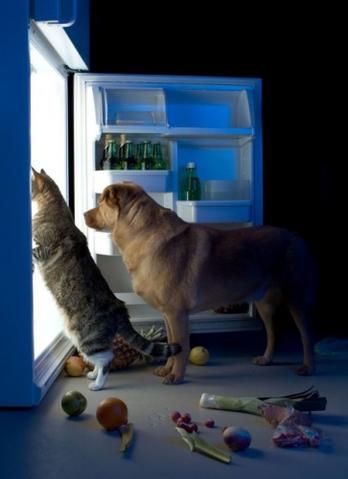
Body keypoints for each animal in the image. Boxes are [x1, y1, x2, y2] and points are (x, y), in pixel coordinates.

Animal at [30, 169, 181, 390]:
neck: (54, 208)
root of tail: (119, 308)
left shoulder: (43, 249)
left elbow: (33, 251)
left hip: (86, 338)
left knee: (107, 358)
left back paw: (98, 383)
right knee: (103, 356)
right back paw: (93, 374)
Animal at [83, 182, 316, 384]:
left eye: (102, 202)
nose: (84, 214)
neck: (143, 230)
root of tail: (295, 237)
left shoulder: (177, 314)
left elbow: (182, 348)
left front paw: (176, 376)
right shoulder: (168, 315)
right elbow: (172, 345)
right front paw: (167, 369)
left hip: (296, 300)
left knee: (306, 337)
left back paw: (308, 367)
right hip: (264, 305)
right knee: (273, 333)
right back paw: (267, 359)